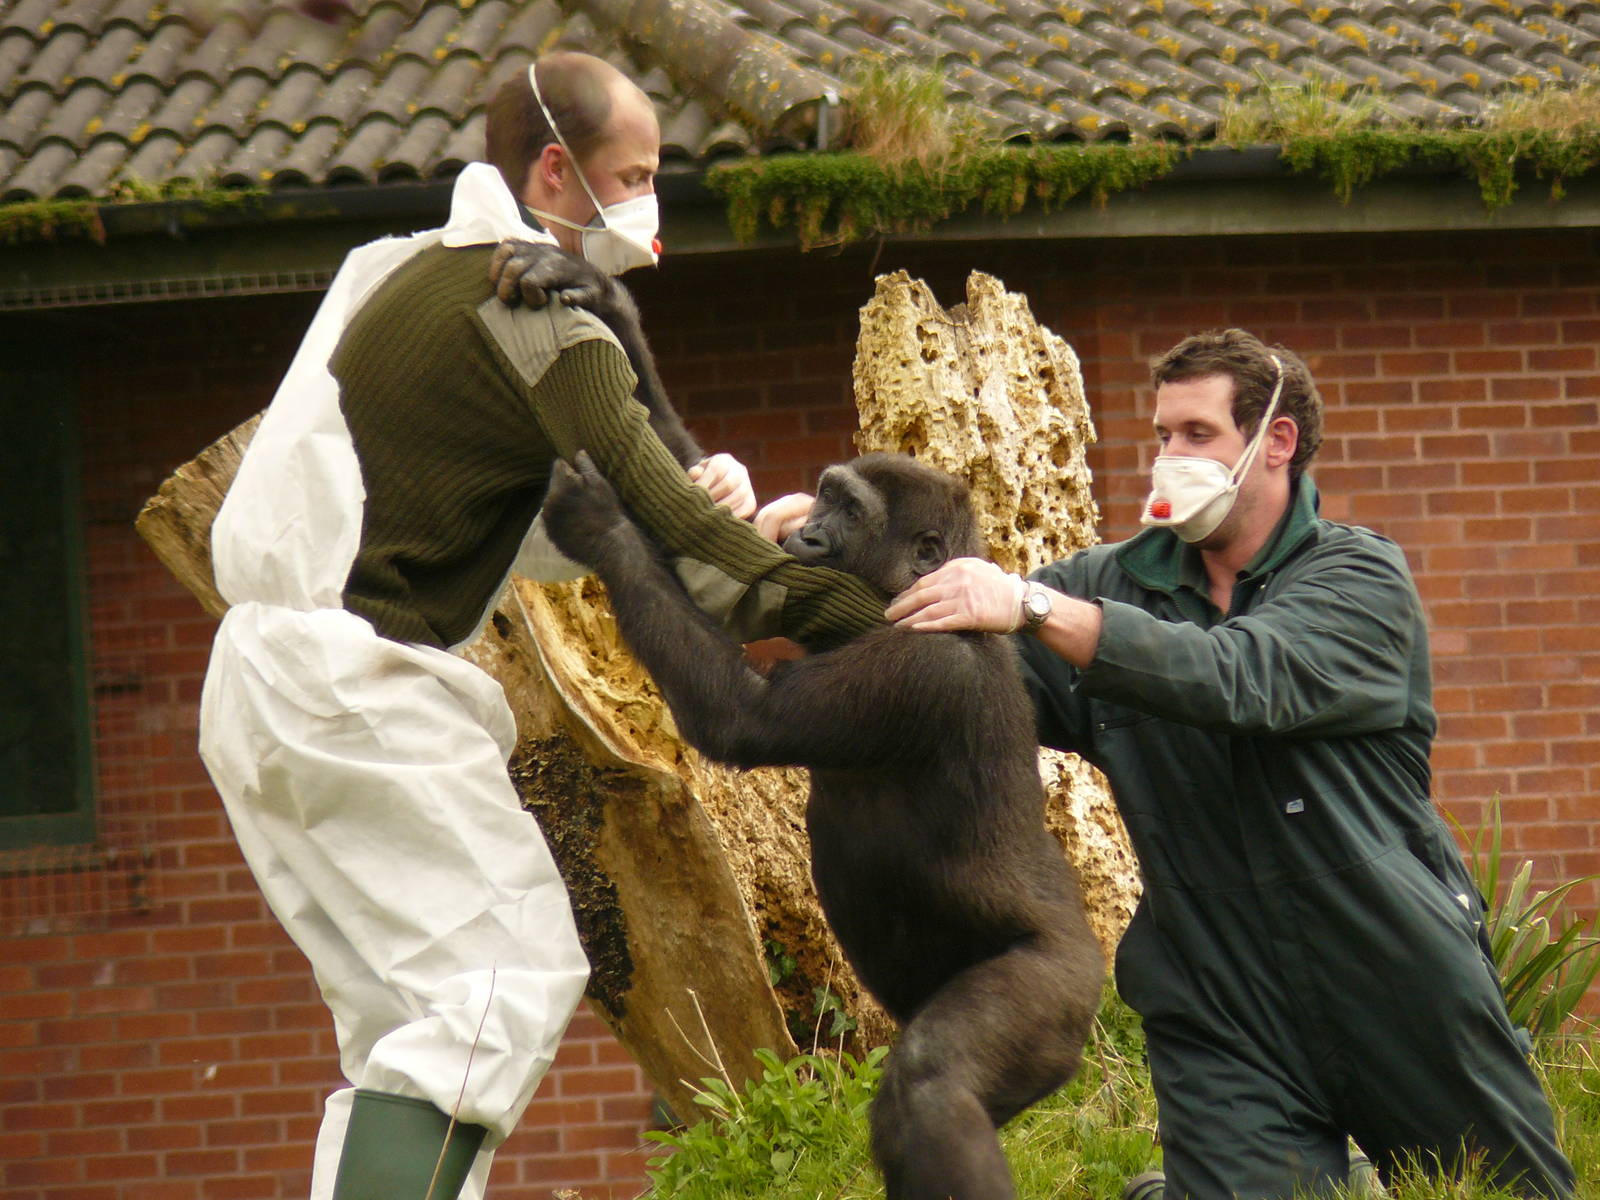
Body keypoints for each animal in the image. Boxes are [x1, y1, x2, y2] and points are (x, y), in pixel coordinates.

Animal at [541, 449, 1105, 1200]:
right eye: (823, 499)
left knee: (930, 1086)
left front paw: (602, 528)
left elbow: (743, 716)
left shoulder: (918, 666)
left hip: (1064, 985)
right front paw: (733, 491)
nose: (807, 533)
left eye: (850, 512)